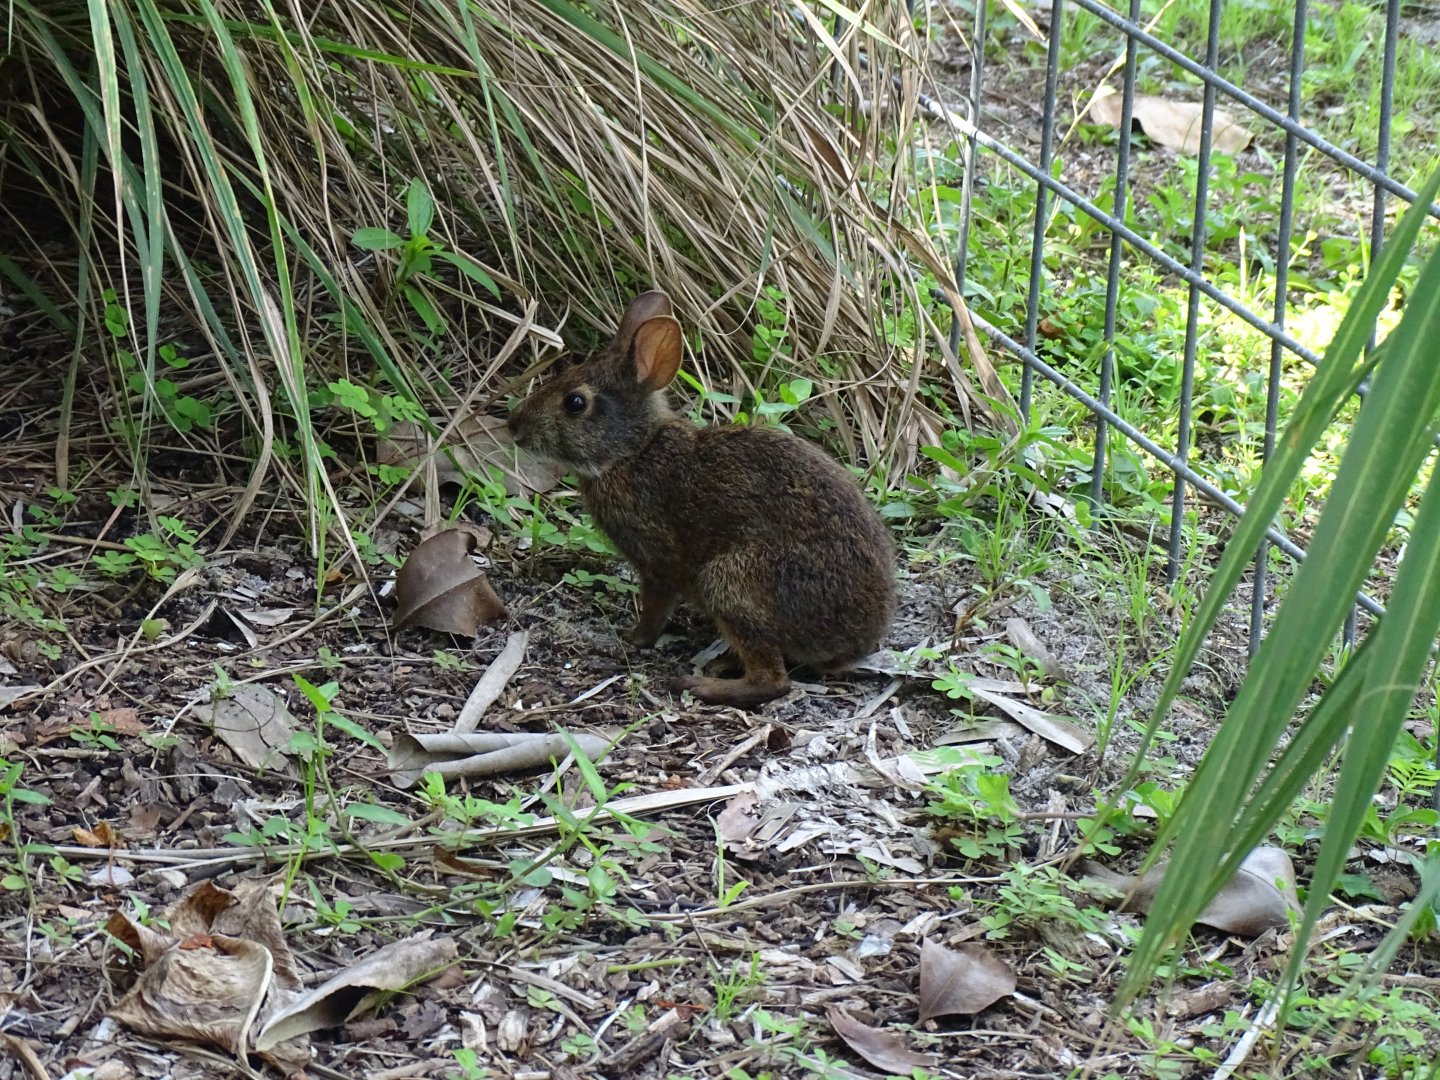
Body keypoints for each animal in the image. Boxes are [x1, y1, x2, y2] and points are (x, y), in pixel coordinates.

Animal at [506, 291, 895, 708]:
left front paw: (632, 638)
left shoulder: (657, 561)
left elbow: (655, 606)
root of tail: (856, 640)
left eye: (575, 403)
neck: (634, 450)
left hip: (731, 584)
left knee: (773, 681)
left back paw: (699, 684)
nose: (514, 427)